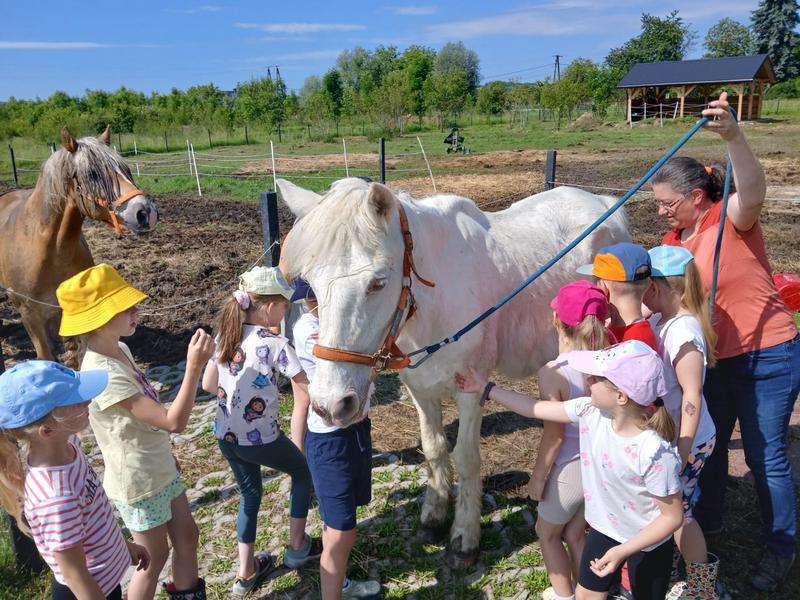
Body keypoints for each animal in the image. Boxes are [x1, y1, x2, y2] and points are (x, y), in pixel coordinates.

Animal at [277, 177, 629, 566]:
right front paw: (433, 515)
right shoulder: (418, 388)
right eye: (311, 284)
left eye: (377, 282)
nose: (332, 405)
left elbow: (466, 457)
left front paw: (464, 536)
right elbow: (433, 448)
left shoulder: (471, 391)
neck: (435, 307)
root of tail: (603, 201)